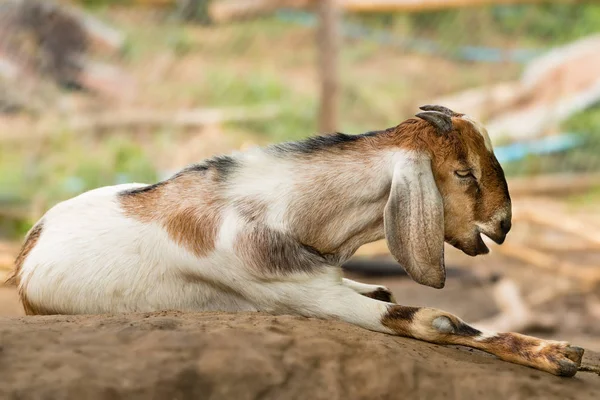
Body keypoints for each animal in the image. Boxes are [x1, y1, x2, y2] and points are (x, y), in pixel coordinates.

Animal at [8, 104, 580, 376]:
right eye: (463, 173)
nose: (504, 224)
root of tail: (27, 248)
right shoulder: (307, 297)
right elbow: (439, 321)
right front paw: (560, 354)